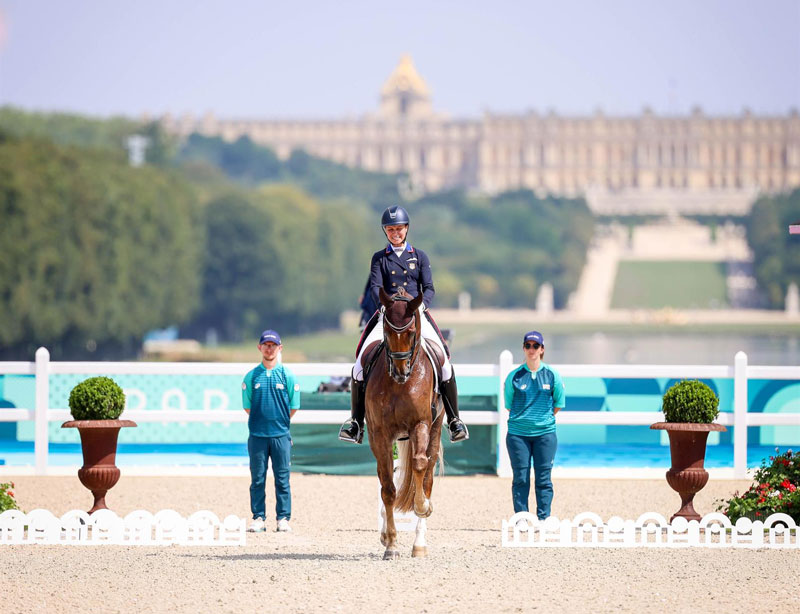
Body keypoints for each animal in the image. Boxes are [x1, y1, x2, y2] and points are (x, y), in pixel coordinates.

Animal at [368, 286, 444, 560]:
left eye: (411, 332)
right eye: (387, 331)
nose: (401, 372)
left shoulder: (420, 424)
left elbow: (420, 464)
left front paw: (423, 507)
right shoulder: (379, 434)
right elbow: (388, 488)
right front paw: (390, 543)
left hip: (436, 428)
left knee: (428, 474)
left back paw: (420, 543)